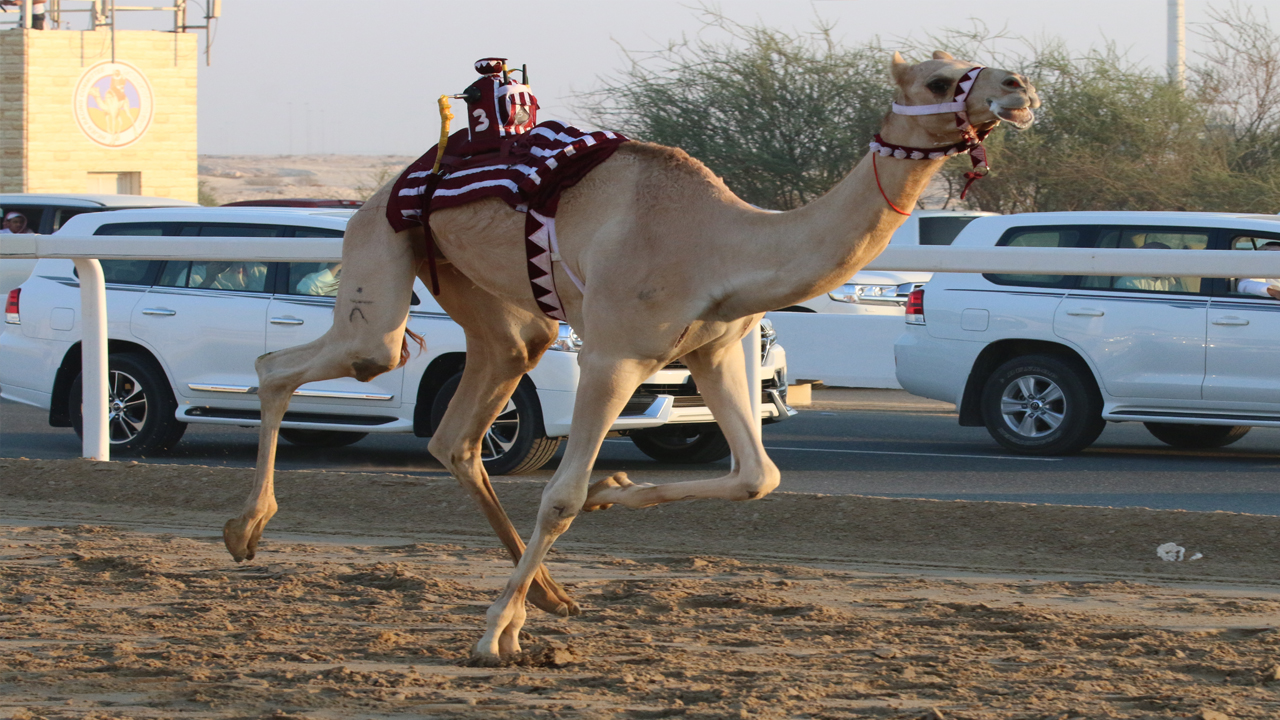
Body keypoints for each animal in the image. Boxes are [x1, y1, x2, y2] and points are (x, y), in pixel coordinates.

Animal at [222, 51, 1039, 662]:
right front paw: (492, 637)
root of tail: (387, 184)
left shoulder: (715, 350)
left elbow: (758, 476)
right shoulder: (612, 354)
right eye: (937, 80)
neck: (719, 247)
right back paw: (245, 530)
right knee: (300, 365)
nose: (1020, 89)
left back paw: (548, 596)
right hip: (383, 256)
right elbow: (560, 495)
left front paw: (610, 491)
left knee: (457, 430)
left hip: (493, 310)